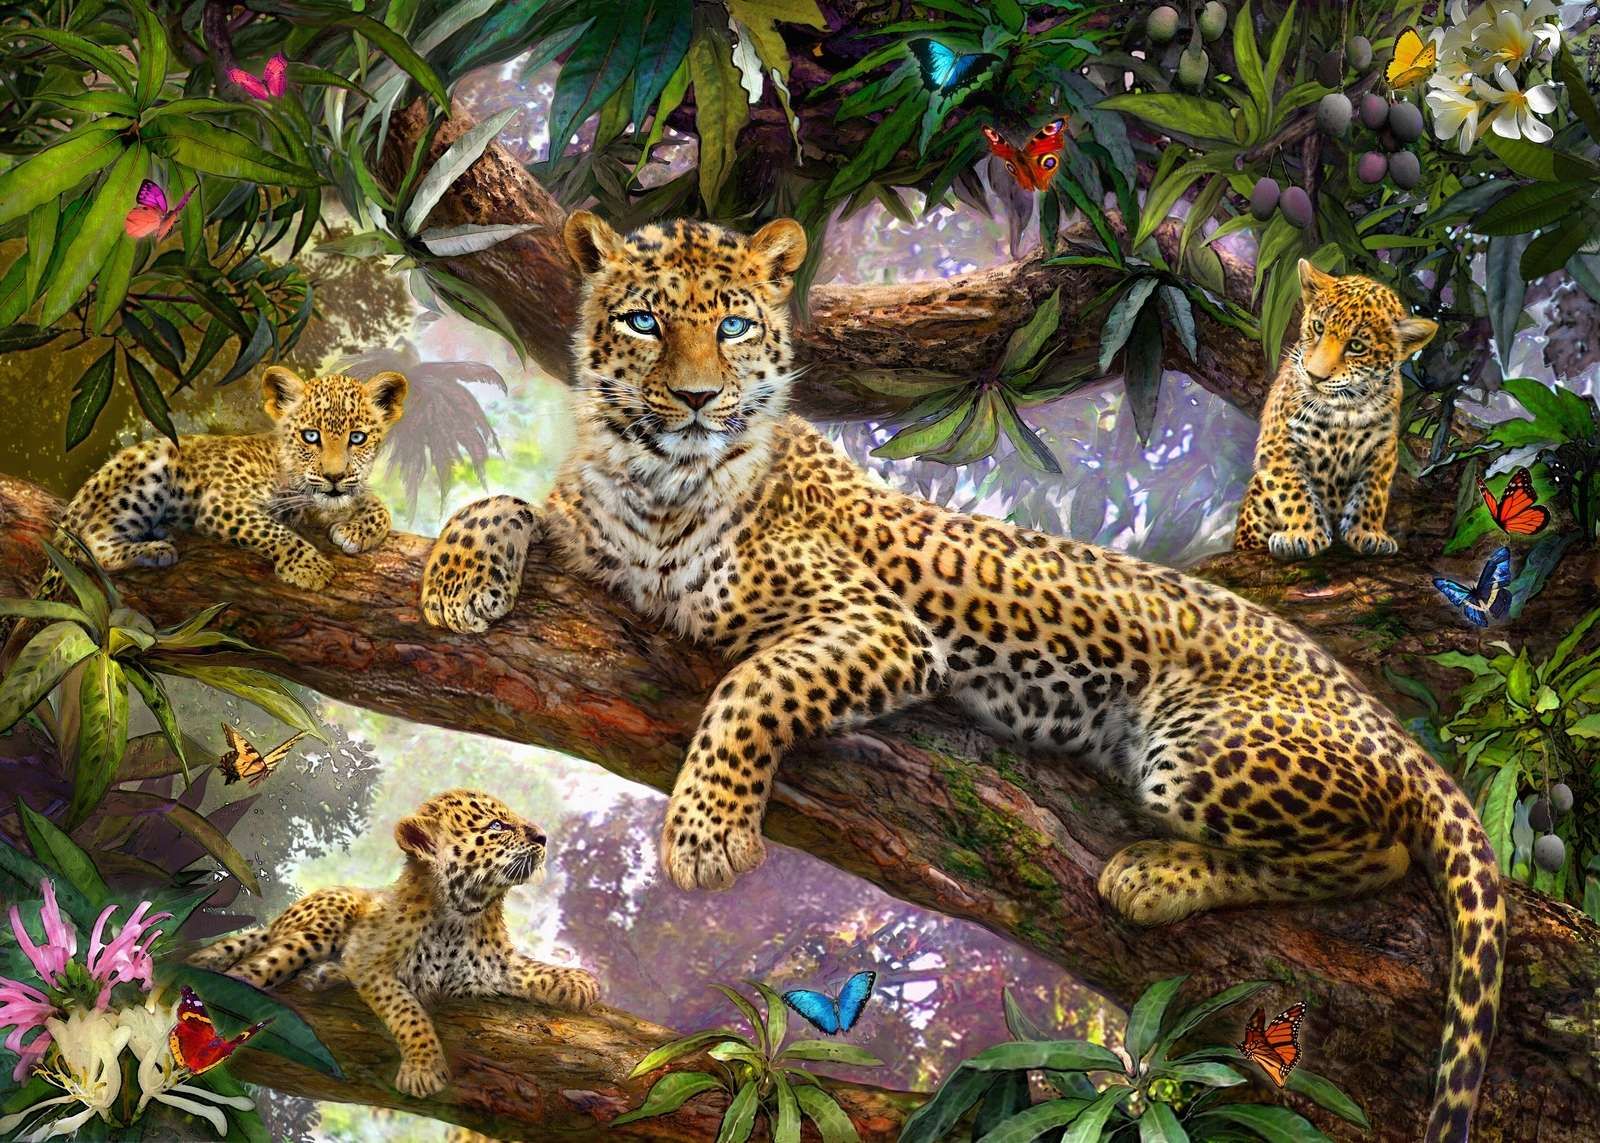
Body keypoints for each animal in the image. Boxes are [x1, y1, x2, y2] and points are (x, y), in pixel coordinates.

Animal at [41, 365, 406, 595]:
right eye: (311, 436)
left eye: (357, 438)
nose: (334, 476)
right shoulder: (224, 503)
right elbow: (272, 530)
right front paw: (309, 567)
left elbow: (374, 504)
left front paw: (355, 531)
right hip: (152, 468)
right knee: (96, 541)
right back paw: (154, 549)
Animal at [188, 789, 600, 1098]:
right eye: (497, 825)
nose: (543, 837)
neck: (461, 913)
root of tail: (279, 918)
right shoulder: (372, 962)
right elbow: (408, 1011)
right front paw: (423, 1068)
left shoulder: (492, 966)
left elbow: (531, 968)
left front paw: (578, 981)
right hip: (321, 924)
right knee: (257, 965)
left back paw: (325, 975)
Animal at [1233, 260, 1438, 561]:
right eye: (1318, 327)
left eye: (1356, 346)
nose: (1314, 376)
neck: (1344, 410)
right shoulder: (1278, 442)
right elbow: (1293, 491)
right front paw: (1302, 534)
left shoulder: (1383, 448)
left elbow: (1372, 491)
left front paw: (1368, 532)